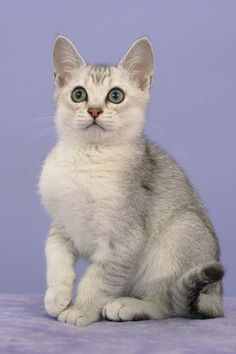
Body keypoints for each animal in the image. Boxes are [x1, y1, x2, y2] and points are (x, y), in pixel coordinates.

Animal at [38, 35, 223, 326]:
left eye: (116, 95)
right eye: (79, 94)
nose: (94, 110)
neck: (86, 160)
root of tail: (217, 297)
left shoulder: (123, 240)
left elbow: (96, 280)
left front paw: (80, 310)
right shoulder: (61, 227)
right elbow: (56, 262)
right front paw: (56, 296)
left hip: (181, 232)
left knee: (169, 304)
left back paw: (127, 306)